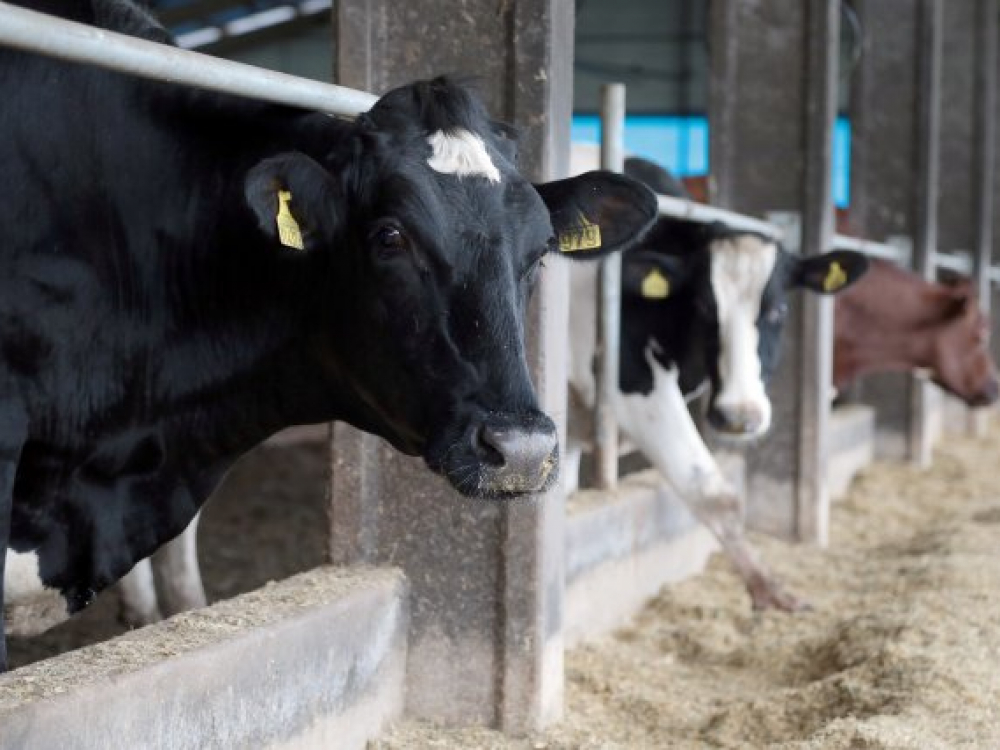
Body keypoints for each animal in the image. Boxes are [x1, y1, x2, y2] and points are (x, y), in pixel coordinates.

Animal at [564, 156, 868, 612]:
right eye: (705, 306)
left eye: (778, 310)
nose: (739, 417)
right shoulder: (629, 382)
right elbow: (713, 491)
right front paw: (767, 587)